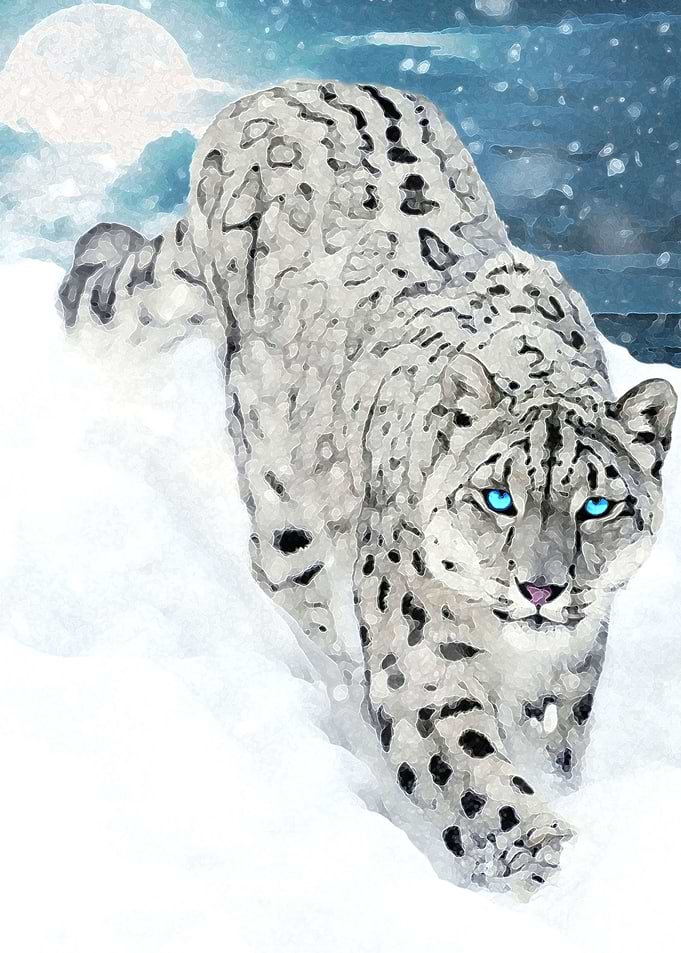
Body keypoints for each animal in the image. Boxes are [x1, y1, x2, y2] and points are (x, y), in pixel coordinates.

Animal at [59, 80, 677, 893]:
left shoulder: (570, 675)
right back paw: (337, 679)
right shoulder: (423, 671)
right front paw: (541, 856)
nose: (540, 587)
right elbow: (475, 775)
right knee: (293, 590)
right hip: (281, 493)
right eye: (497, 497)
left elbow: (553, 751)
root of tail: (278, 91)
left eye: (597, 504)